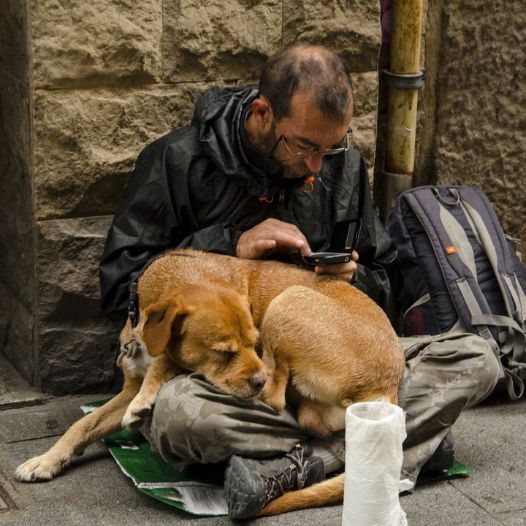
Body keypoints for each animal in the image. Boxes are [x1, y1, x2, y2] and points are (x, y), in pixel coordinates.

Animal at [15, 250, 404, 516]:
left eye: (254, 342)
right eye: (223, 351)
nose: (256, 377)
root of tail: (387, 387)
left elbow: (167, 363)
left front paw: (147, 398)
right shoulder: (126, 388)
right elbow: (82, 425)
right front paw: (45, 461)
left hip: (288, 300)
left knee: (276, 399)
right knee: (303, 417)